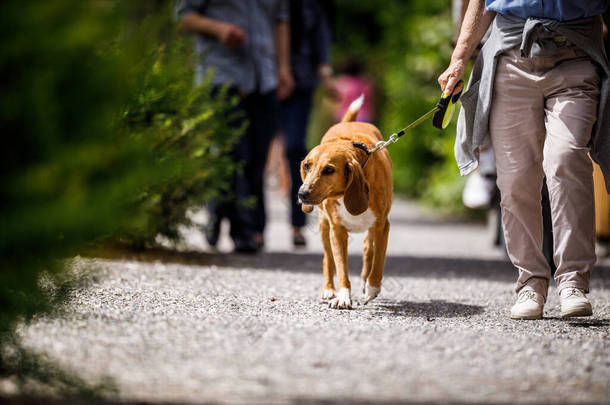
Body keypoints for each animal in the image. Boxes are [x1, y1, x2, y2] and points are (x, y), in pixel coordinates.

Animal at [296, 96, 392, 308]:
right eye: (307, 166)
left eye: (329, 170)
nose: (302, 194)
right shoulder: (337, 231)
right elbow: (340, 265)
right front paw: (343, 296)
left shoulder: (382, 226)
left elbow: (378, 260)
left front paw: (372, 287)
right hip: (324, 227)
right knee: (328, 259)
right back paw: (328, 289)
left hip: (372, 228)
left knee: (368, 249)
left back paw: (366, 282)